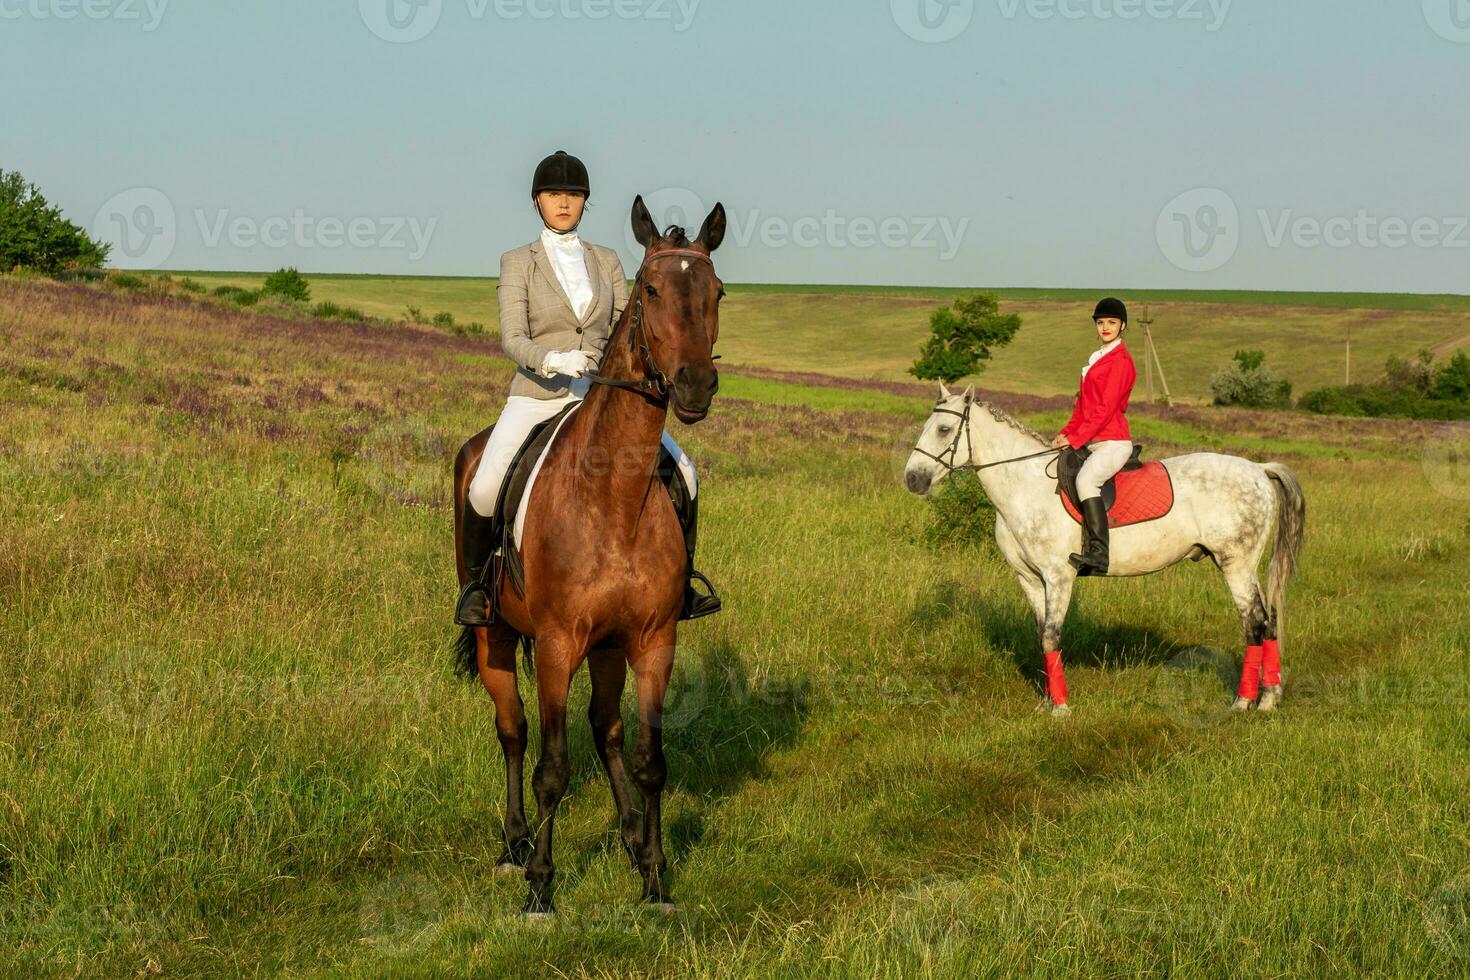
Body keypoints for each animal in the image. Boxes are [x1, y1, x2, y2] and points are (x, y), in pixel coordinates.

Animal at [446, 195, 723, 916]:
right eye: (651, 290)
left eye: (716, 291)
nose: (694, 386)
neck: (613, 500)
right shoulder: (555, 644)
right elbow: (552, 766)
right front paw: (543, 890)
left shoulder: (652, 641)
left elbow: (648, 757)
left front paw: (655, 879)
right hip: (495, 633)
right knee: (513, 731)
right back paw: (515, 849)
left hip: (608, 646)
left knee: (606, 729)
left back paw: (629, 840)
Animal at [905, 384, 1311, 719]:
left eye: (943, 429)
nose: (912, 479)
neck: (1026, 486)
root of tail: (1258, 469)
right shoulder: (1030, 579)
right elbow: (1040, 635)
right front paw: (1046, 701)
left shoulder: (1059, 576)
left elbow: (1051, 635)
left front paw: (1061, 708)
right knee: (1269, 620)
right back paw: (1268, 699)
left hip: (1236, 564)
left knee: (1255, 622)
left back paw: (1245, 702)